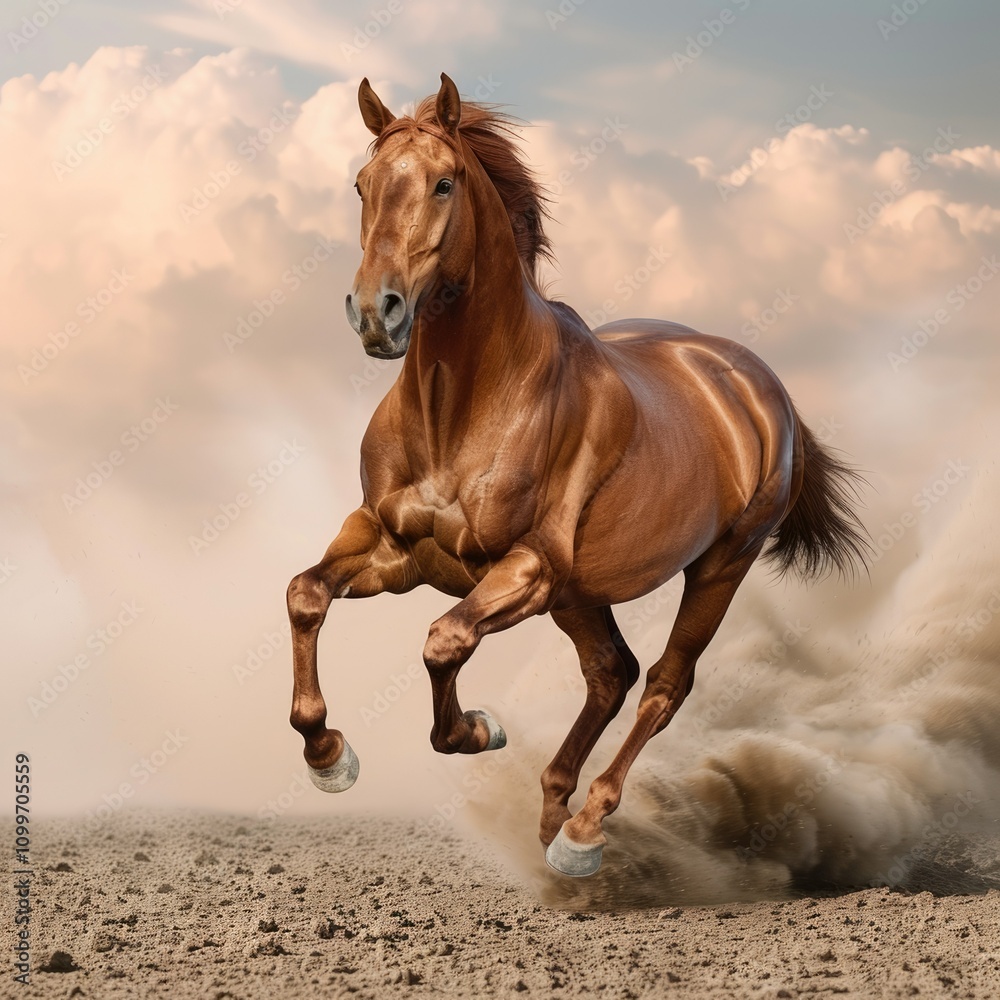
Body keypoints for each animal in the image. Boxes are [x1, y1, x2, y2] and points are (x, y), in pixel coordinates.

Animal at [286, 73, 868, 877]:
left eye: (444, 182)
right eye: (361, 185)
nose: (378, 314)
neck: (460, 405)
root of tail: (757, 383)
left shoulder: (526, 568)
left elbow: (444, 643)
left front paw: (478, 728)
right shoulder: (391, 545)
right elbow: (306, 594)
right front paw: (328, 756)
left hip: (719, 565)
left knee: (663, 684)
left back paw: (583, 833)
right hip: (581, 595)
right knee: (610, 672)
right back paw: (551, 815)